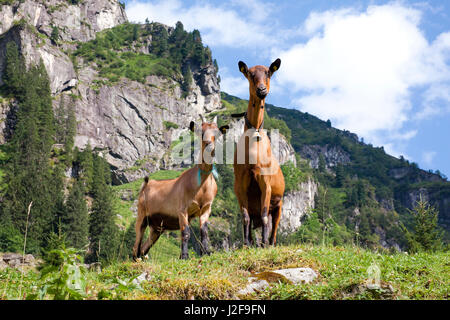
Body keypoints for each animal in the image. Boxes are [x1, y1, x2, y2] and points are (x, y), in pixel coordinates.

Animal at [132, 116, 227, 262]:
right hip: (142, 215)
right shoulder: (182, 209)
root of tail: (146, 184)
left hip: (157, 228)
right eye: (200, 132)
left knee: (144, 248)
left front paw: (205, 253)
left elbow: (204, 232)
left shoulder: (206, 208)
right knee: (136, 243)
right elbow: (185, 233)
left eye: (216, 133)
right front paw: (184, 257)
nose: (208, 144)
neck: (201, 186)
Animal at [232, 58, 284, 248]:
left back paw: (268, 243)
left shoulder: (265, 181)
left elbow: (264, 217)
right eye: (250, 74)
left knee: (273, 226)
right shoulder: (241, 183)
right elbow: (245, 217)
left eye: (269, 72)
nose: (261, 90)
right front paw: (246, 243)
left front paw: (263, 243)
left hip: (278, 205)